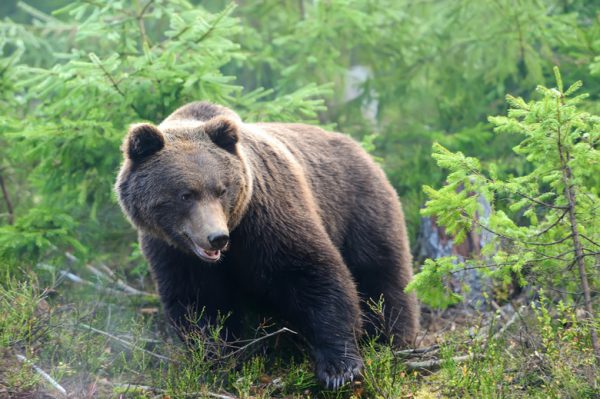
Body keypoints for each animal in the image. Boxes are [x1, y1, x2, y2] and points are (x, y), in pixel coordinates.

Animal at [115, 101, 420, 390]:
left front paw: (339, 368)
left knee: (381, 275)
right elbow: (199, 304)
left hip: (359, 207)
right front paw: (219, 360)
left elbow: (314, 274)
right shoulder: (173, 252)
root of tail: (362, 149)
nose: (216, 237)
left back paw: (393, 340)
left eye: (221, 189)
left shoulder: (266, 216)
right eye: (185, 194)